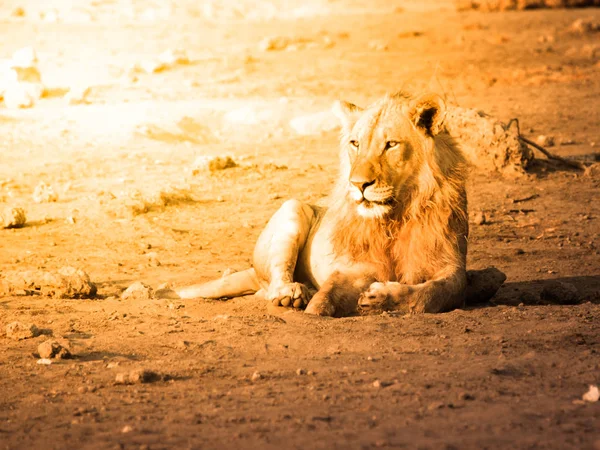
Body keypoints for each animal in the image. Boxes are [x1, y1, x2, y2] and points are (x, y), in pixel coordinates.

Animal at [172, 90, 506, 316]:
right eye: (355, 143)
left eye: (391, 144)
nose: (358, 185)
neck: (395, 215)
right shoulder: (354, 267)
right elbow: (329, 292)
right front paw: (317, 307)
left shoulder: (449, 264)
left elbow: (435, 292)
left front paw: (380, 297)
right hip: (293, 209)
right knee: (272, 285)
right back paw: (294, 292)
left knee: (494, 276)